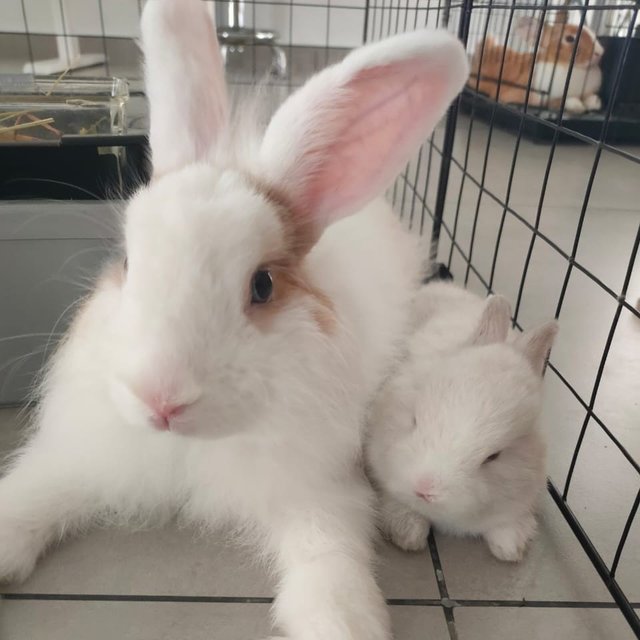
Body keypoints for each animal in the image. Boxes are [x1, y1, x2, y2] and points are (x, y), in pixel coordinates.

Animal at [0, 1, 469, 638]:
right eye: (128, 262)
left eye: (263, 284)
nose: (161, 398)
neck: (190, 447)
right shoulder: (78, 455)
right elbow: (28, 497)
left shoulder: (315, 489)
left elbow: (328, 556)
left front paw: (343, 622)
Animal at [469, 14, 604, 114]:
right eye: (570, 39)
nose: (600, 52)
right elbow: (558, 102)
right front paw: (577, 105)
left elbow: (589, 97)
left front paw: (595, 103)